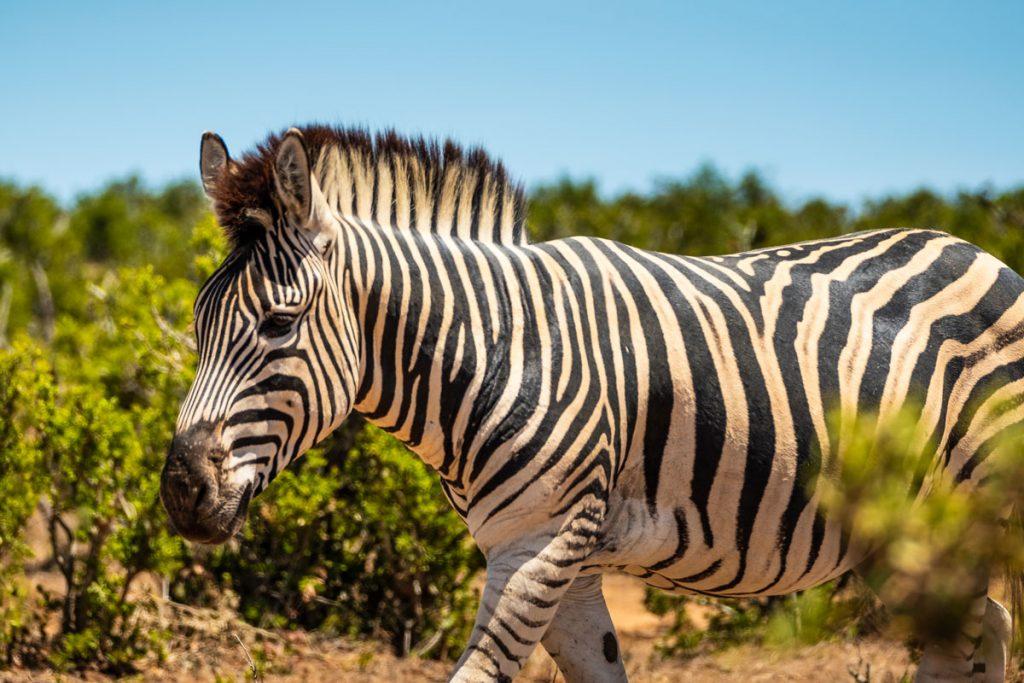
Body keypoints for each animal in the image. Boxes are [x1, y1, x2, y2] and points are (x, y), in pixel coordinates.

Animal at [160, 125, 1024, 682]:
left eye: (278, 324)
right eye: (197, 322)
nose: (179, 492)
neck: (496, 353)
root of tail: (978, 251)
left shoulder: (541, 541)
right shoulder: (562, 559)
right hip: (907, 534)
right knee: (982, 630)